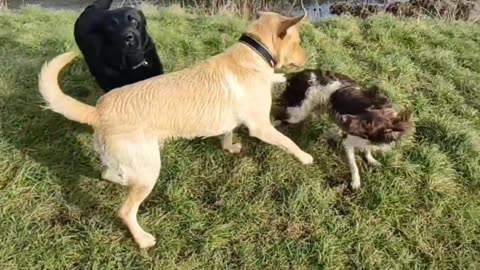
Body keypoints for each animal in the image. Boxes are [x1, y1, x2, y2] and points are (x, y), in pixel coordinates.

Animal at [39, 11, 314, 248]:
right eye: (299, 41)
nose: (308, 59)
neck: (254, 53)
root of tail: (98, 111)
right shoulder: (261, 127)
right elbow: (289, 143)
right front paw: (305, 157)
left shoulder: (231, 120)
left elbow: (227, 133)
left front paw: (230, 147)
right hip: (149, 170)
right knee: (125, 210)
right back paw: (142, 239)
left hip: (134, 163)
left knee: (108, 173)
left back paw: (122, 181)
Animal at [276, 70, 410, 191]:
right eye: (363, 113)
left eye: (367, 124)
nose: (343, 118)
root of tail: (298, 74)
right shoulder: (348, 141)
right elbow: (354, 165)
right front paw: (356, 182)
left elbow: (367, 150)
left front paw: (371, 160)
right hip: (297, 113)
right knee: (280, 117)